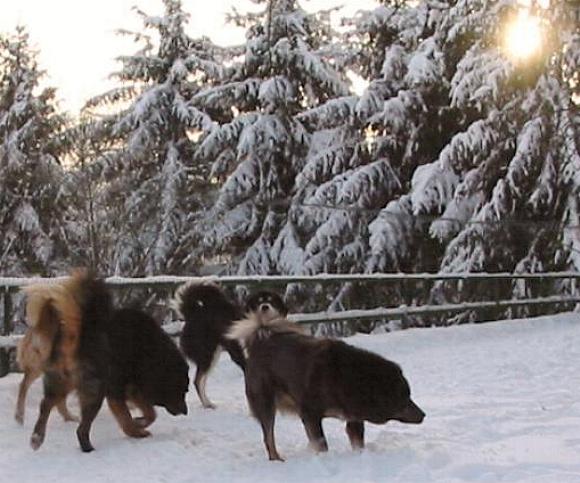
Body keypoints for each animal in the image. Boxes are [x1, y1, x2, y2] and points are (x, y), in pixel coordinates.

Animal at [228, 318, 426, 462]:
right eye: (404, 397)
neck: (352, 379)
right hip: (266, 403)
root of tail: (258, 344)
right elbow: (321, 443)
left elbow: (358, 443)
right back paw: (276, 459)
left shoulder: (353, 418)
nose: (423, 414)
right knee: (268, 436)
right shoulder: (310, 414)